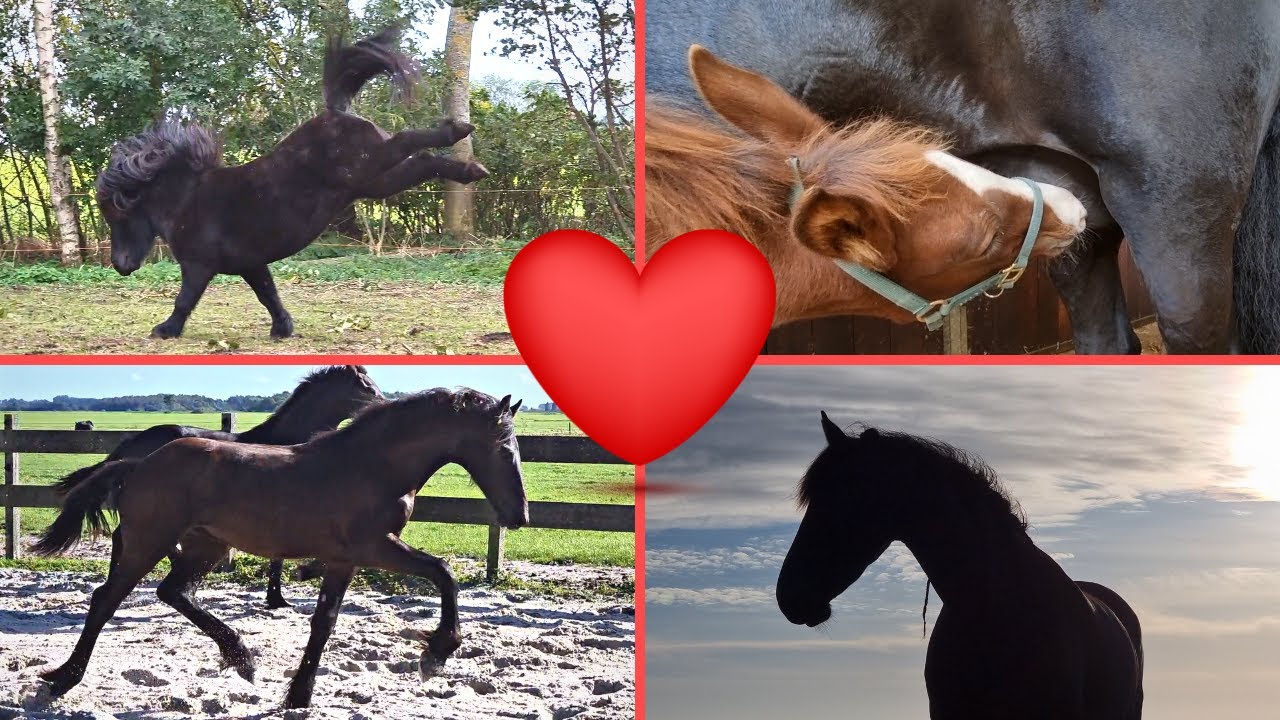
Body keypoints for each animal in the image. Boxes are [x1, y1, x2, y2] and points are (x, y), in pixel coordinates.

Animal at [51, 364, 383, 609]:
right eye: (367, 387)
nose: (384, 404)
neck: (288, 443)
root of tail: (131, 444)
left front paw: (276, 597)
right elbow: (277, 557)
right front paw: (276, 599)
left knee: (125, 537)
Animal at [95, 25, 488, 340]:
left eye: (119, 214)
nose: (121, 266)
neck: (186, 200)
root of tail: (338, 112)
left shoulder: (198, 266)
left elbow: (184, 299)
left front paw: (165, 330)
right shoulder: (250, 264)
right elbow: (268, 294)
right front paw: (282, 328)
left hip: (371, 165)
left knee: (410, 141)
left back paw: (457, 130)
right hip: (374, 181)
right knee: (422, 162)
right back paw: (471, 169)